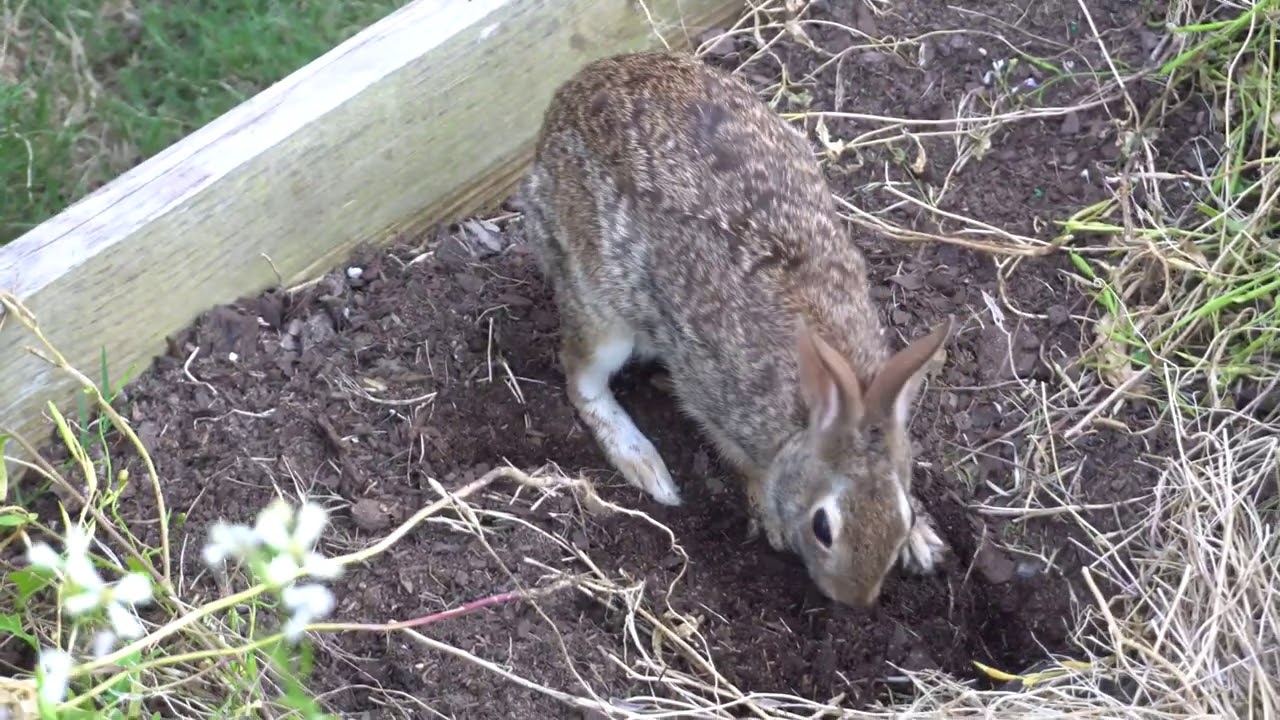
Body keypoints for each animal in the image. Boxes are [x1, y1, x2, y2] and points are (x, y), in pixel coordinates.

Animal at [517, 51, 952, 609]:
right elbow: (741, 459)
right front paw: (769, 515)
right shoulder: (714, 393)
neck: (815, 410)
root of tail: (558, 112)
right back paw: (644, 464)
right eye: (823, 528)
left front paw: (924, 543)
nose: (855, 601)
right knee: (580, 376)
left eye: (903, 515)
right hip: (601, 302)